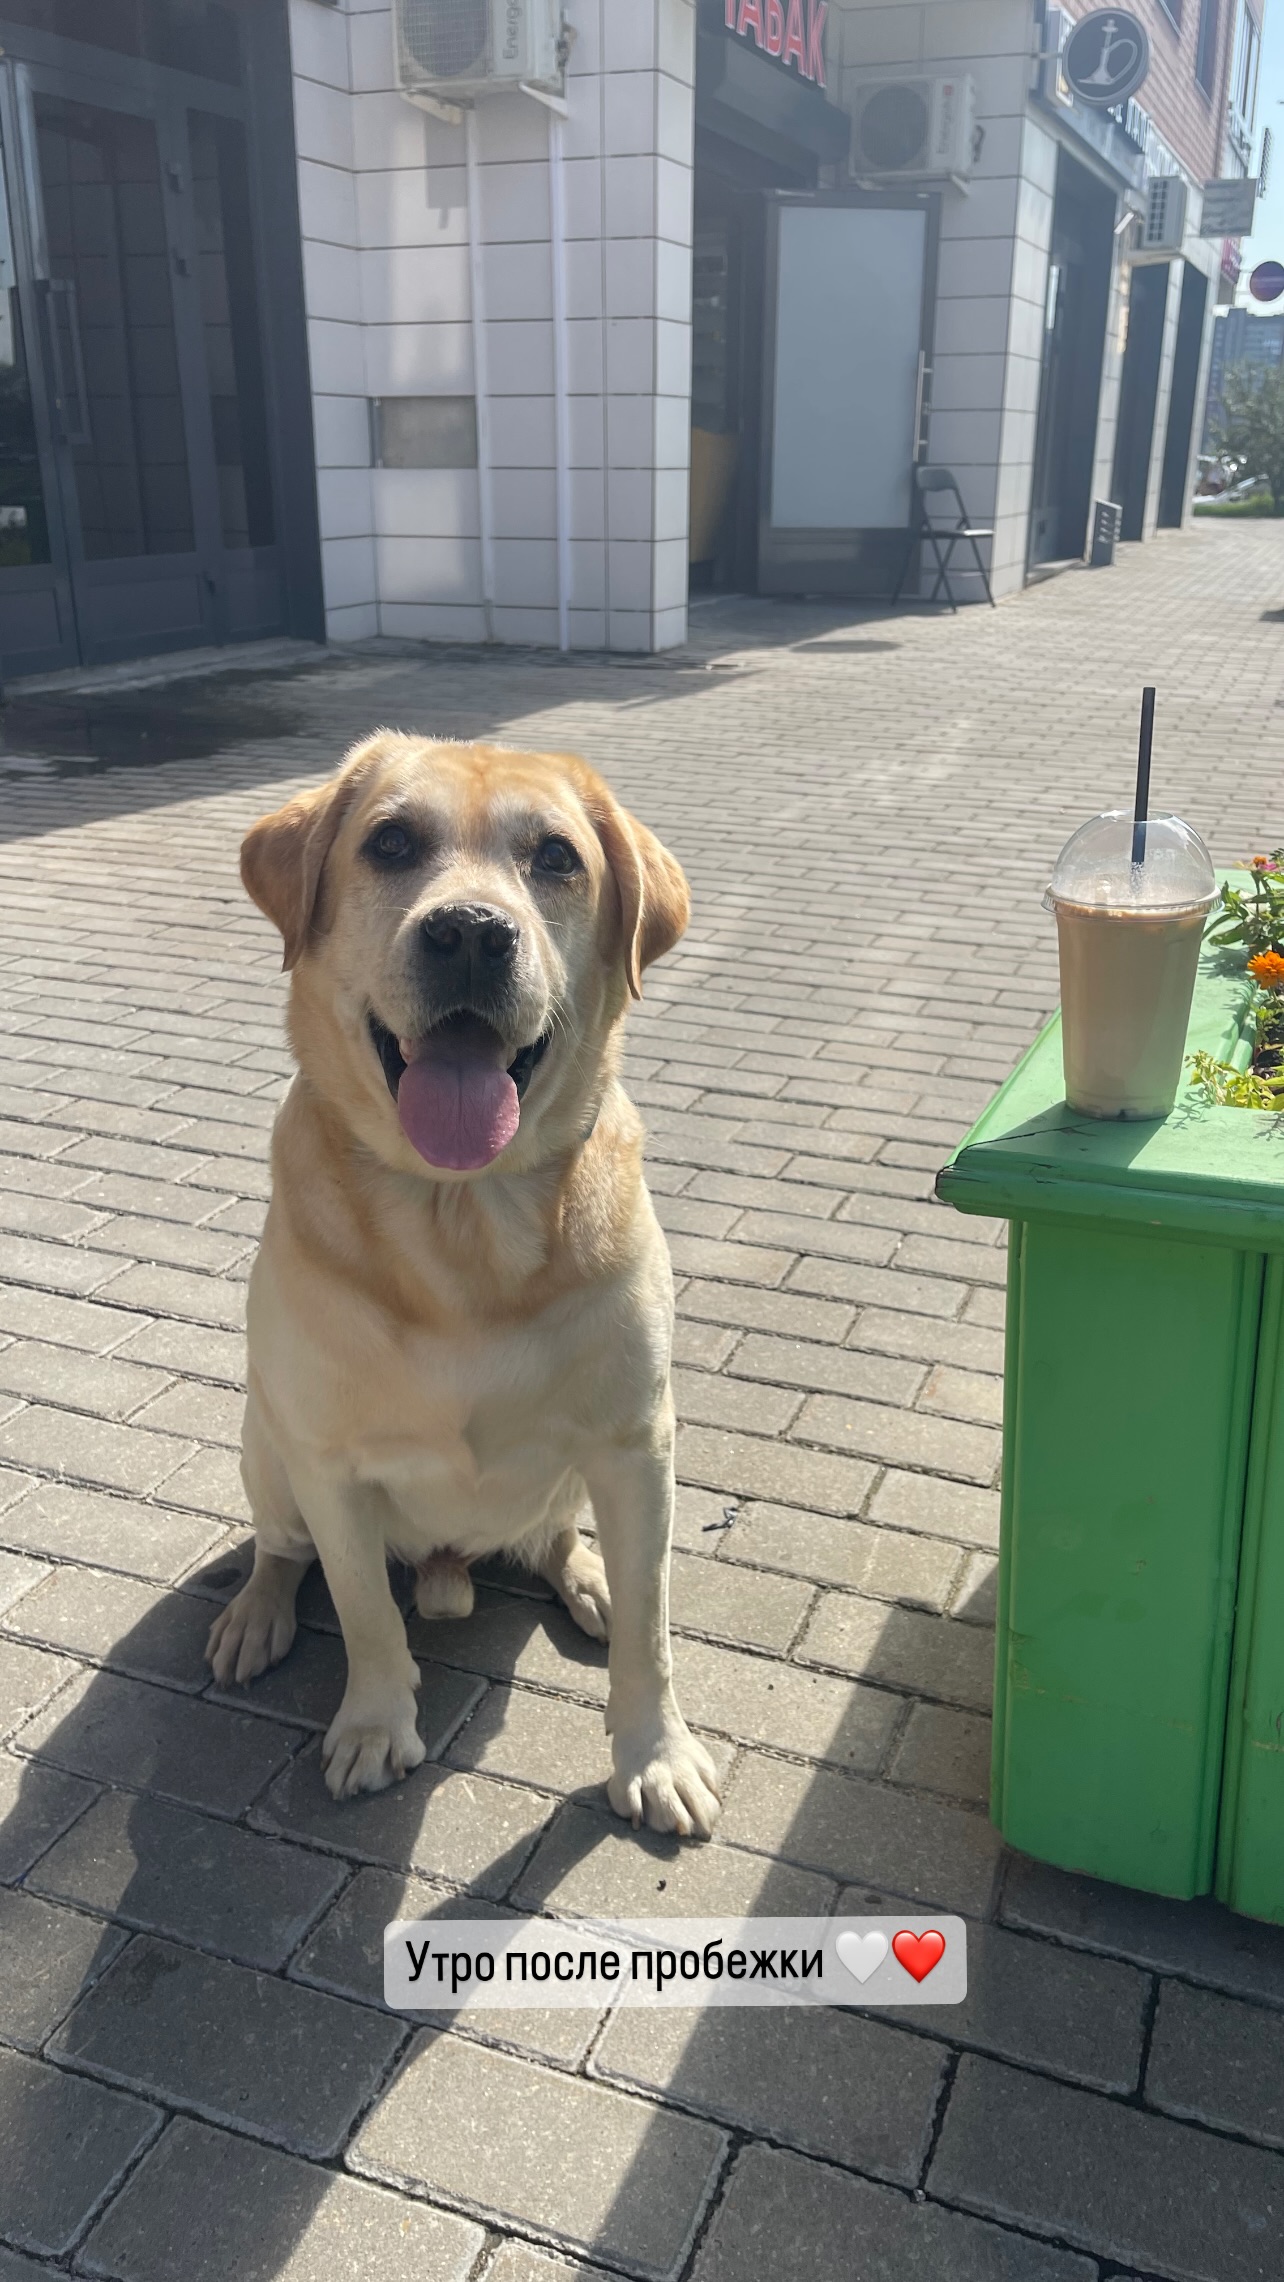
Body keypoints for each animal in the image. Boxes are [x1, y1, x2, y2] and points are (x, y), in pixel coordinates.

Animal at [206, 739, 720, 1843]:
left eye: (557, 856)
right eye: (392, 842)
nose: (472, 934)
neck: (461, 1217)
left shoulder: (639, 1440)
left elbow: (652, 1633)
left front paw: (654, 1754)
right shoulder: (328, 1460)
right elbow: (363, 1609)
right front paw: (373, 1724)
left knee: (563, 1539)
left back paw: (587, 1575)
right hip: (265, 1440)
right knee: (282, 1548)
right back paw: (257, 1613)